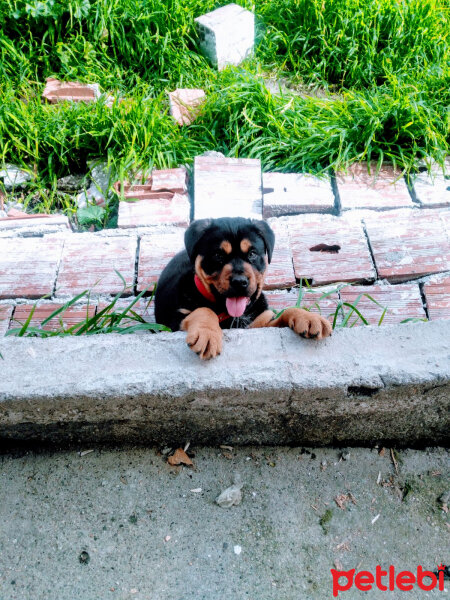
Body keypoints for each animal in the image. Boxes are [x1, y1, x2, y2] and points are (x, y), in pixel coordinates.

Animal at [156, 220, 332, 360]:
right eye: (218, 255)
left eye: (252, 253)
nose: (239, 281)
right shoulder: (174, 323)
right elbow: (203, 310)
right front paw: (207, 334)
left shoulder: (261, 323)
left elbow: (285, 313)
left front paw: (309, 318)